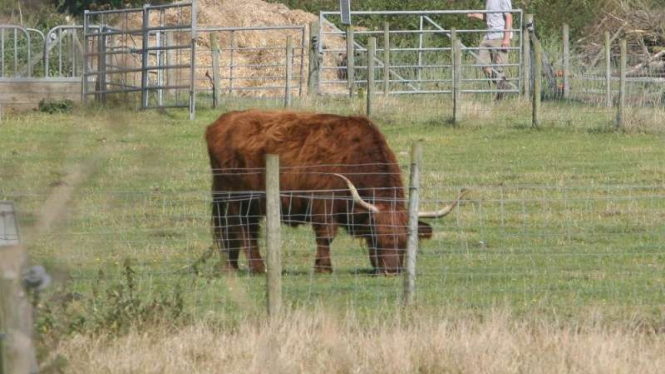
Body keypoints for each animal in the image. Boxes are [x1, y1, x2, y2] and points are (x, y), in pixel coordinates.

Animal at [205, 109, 464, 274]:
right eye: (377, 238)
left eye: (404, 242)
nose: (391, 271)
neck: (355, 156)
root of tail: (223, 121)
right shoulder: (323, 203)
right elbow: (326, 235)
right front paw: (323, 268)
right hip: (234, 198)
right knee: (238, 228)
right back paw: (255, 268)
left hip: (250, 203)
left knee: (242, 230)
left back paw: (234, 266)